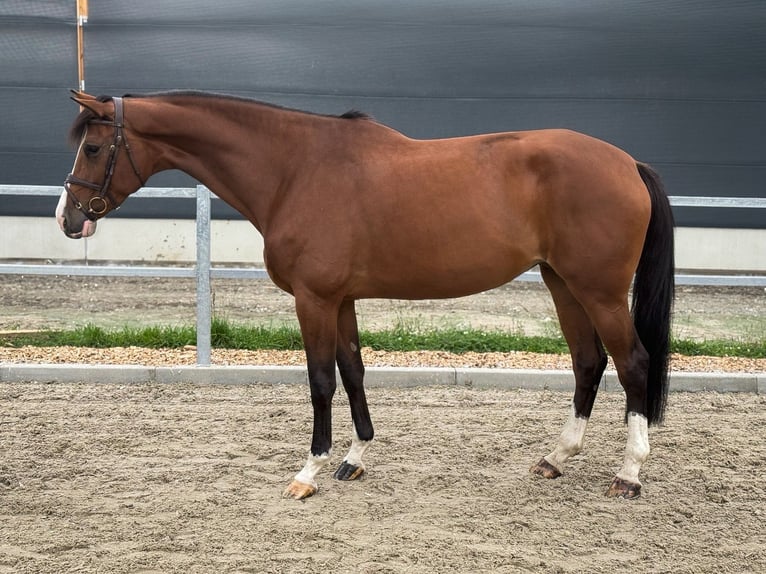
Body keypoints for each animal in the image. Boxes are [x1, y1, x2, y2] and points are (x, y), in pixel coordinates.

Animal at [57, 90, 676, 500]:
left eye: (93, 148)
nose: (68, 219)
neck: (295, 170)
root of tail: (627, 162)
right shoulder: (342, 300)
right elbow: (353, 371)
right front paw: (354, 460)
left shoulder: (313, 300)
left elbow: (320, 381)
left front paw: (308, 472)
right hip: (562, 283)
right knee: (588, 362)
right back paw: (555, 458)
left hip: (598, 291)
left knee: (633, 364)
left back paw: (629, 474)